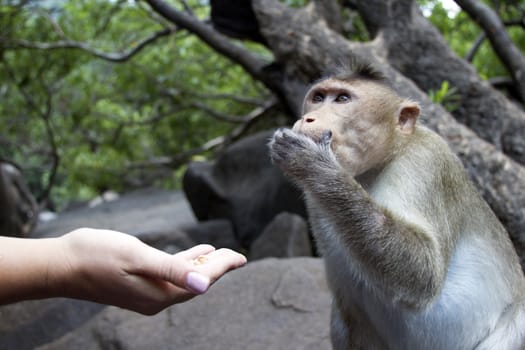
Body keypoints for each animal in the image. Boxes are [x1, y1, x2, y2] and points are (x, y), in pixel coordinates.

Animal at [268, 64, 524, 348]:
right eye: (318, 98)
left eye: (342, 99)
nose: (308, 119)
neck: (376, 165)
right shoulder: (315, 202)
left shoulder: (426, 160)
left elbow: (423, 273)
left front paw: (317, 166)